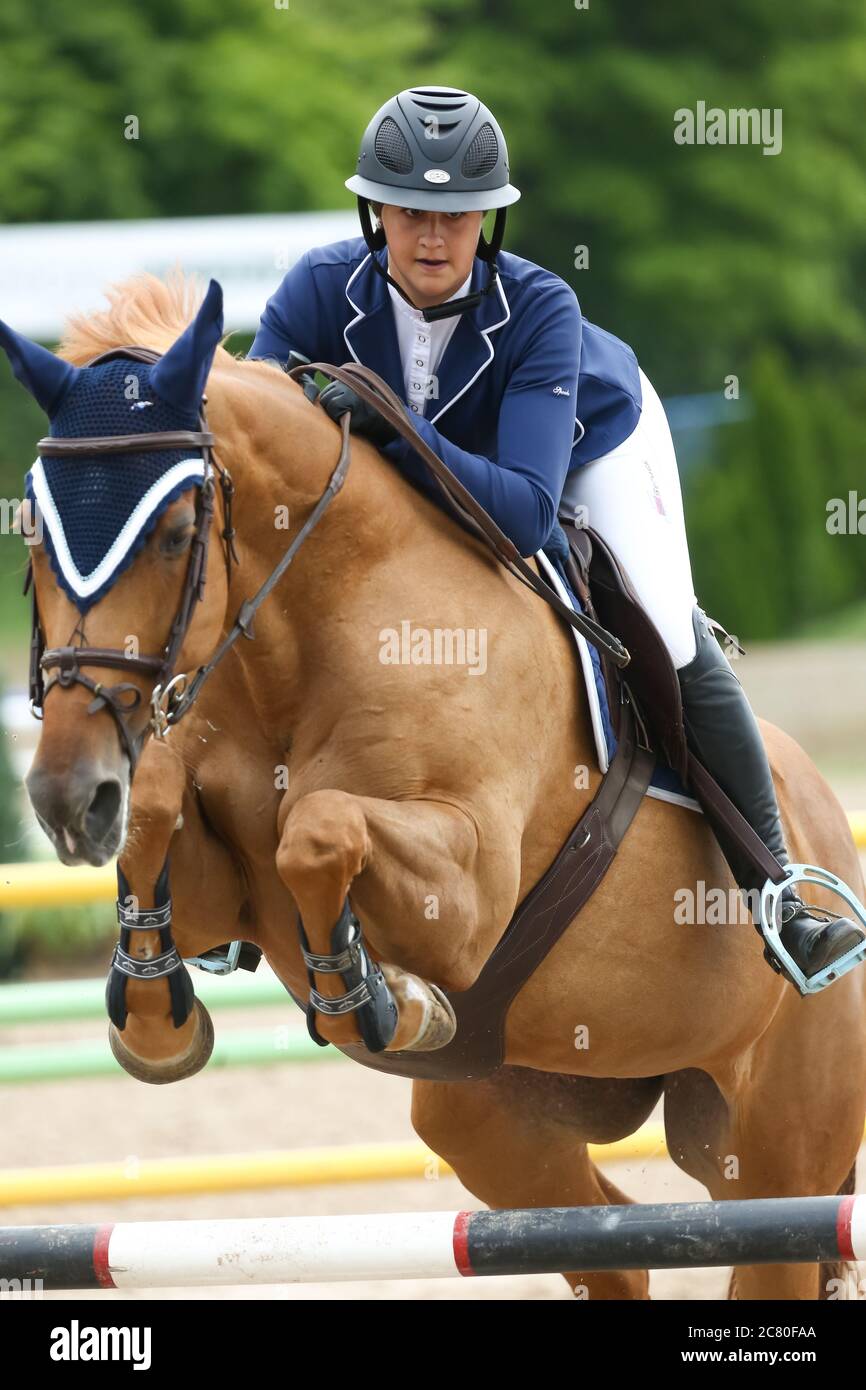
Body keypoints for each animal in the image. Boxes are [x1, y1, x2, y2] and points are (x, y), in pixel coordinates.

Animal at [8, 276, 866, 1295]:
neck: (298, 644)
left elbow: (319, 830)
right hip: (494, 1120)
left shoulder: (466, 893)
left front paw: (384, 1000)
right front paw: (157, 1025)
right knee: (613, 1248)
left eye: (178, 533)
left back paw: (805, 927)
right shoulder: (222, 896)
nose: (67, 798)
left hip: (780, 1151)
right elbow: (159, 815)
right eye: (31, 532)